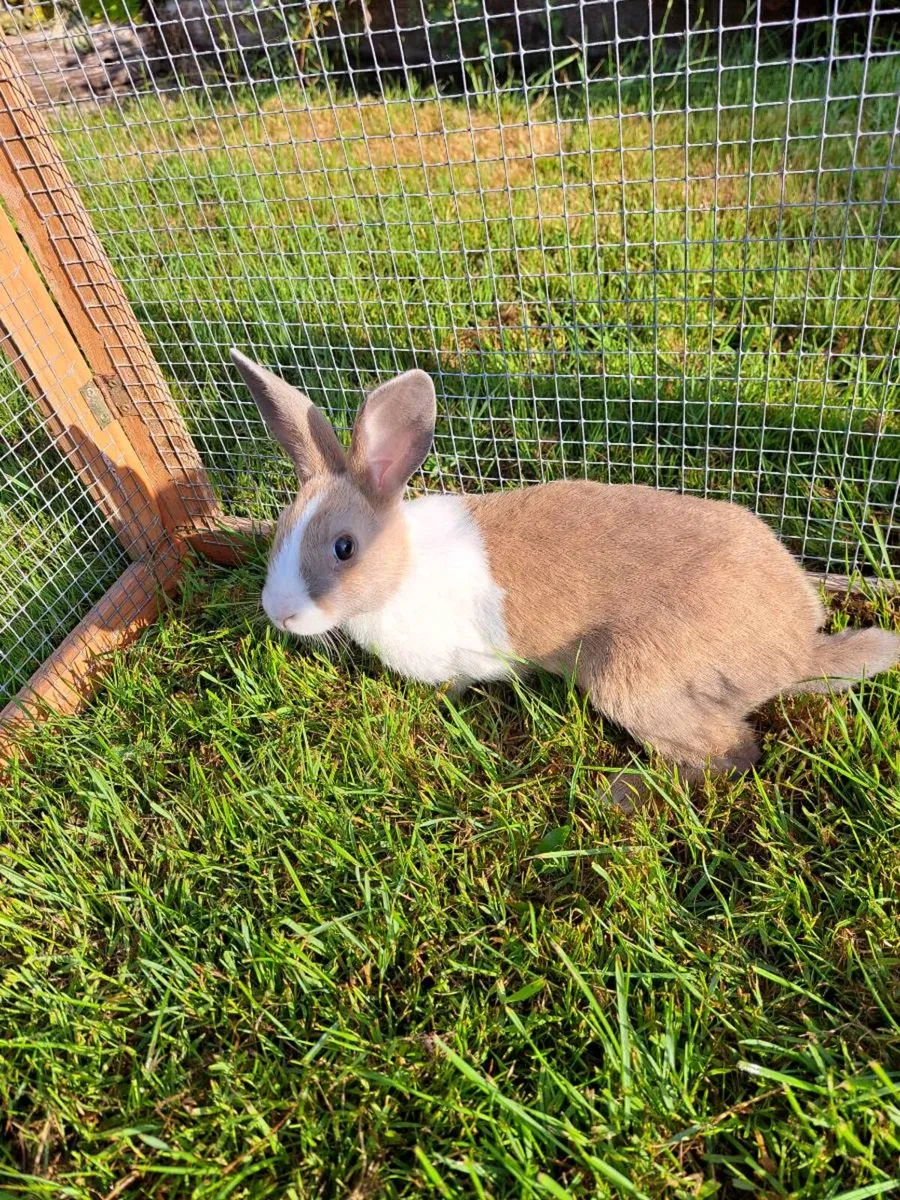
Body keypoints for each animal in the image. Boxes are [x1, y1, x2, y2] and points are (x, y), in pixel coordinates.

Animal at [232, 349, 900, 789]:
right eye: (282, 530)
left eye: (344, 548)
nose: (279, 614)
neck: (402, 572)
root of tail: (798, 650)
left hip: (632, 680)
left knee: (729, 754)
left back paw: (621, 796)